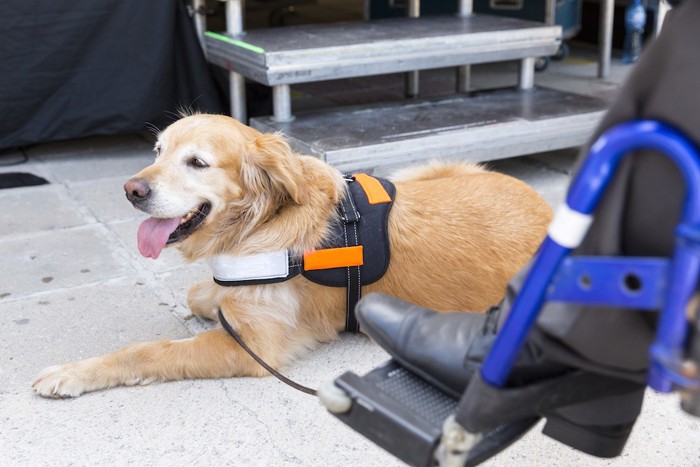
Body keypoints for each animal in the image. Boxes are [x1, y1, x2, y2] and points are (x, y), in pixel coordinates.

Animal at [31, 114, 552, 398]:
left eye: (197, 162)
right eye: (157, 151)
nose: (132, 190)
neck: (259, 221)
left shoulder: (254, 348)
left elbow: (150, 350)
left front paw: (72, 373)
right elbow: (202, 293)